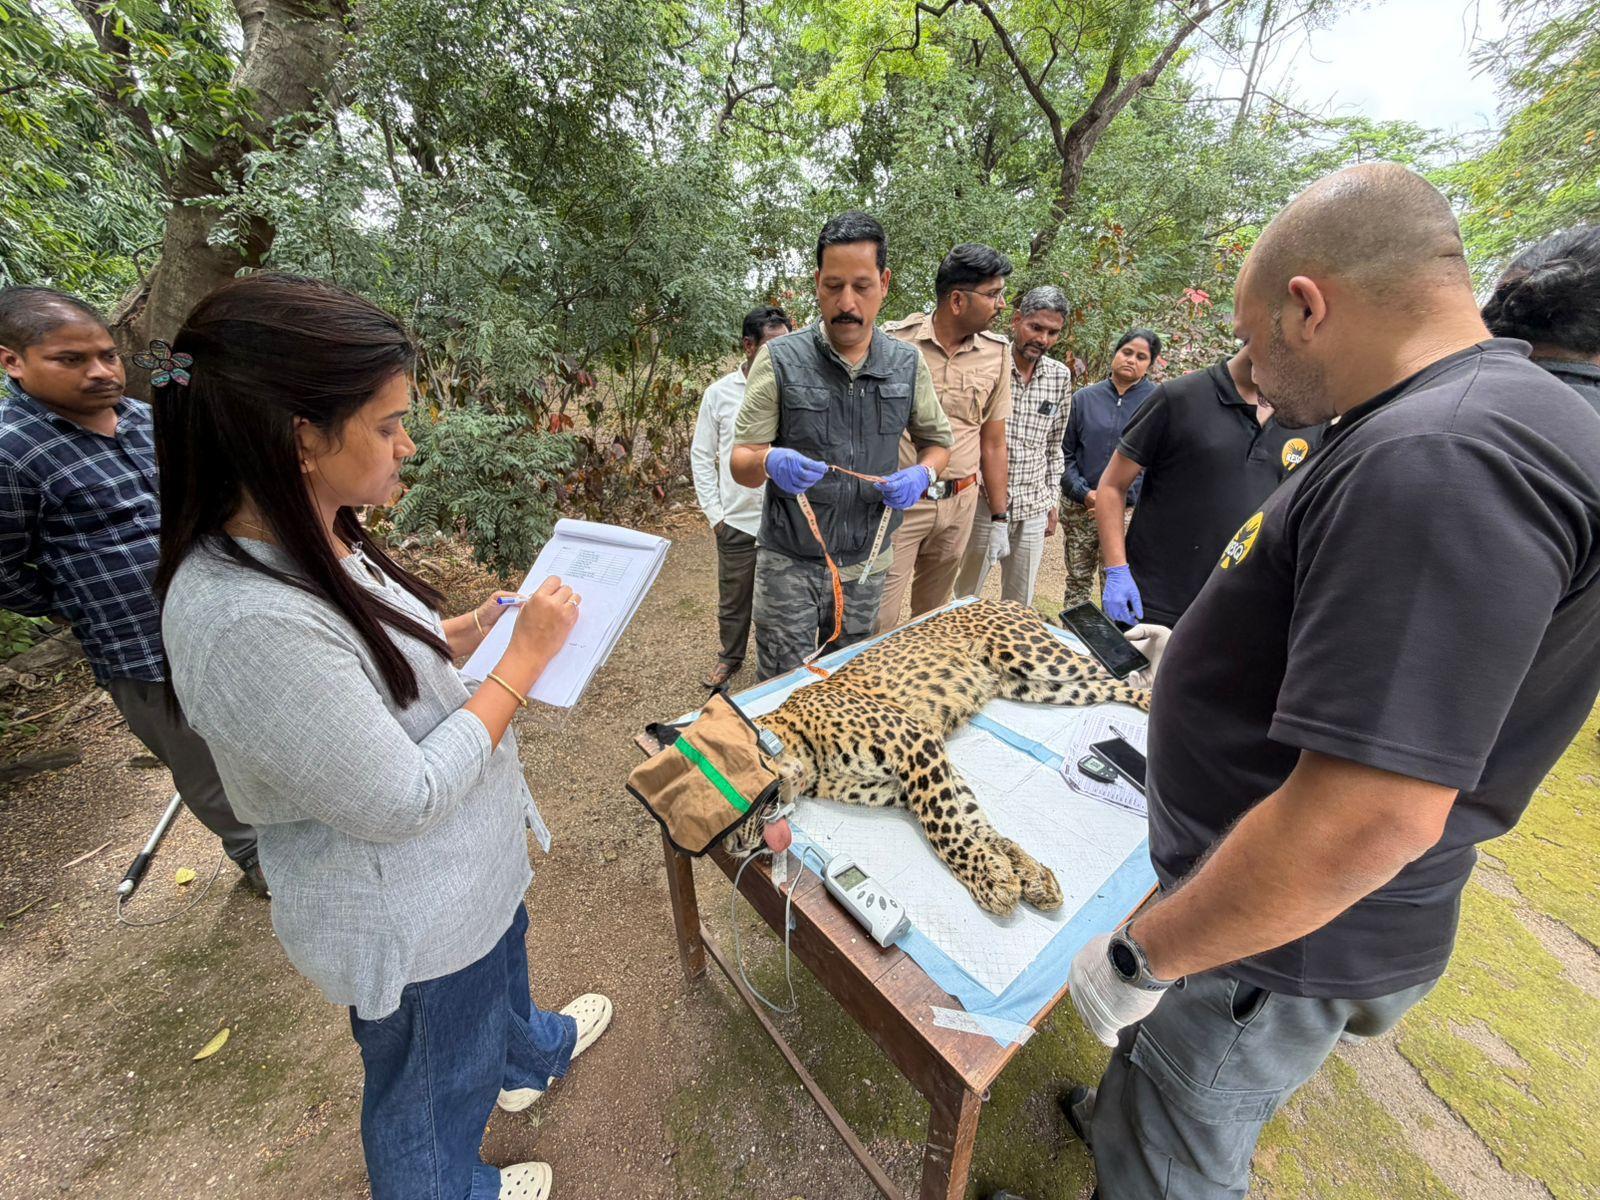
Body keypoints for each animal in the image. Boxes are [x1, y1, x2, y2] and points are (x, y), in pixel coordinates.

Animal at [724, 598, 1150, 917]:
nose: (733, 849)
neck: (800, 756)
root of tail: (1003, 600)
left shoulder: (916, 744)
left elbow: (942, 827)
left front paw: (992, 878)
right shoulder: (911, 779)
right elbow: (972, 822)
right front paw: (1020, 872)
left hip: (1039, 657)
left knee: (1123, 666)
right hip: (1039, 687)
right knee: (1112, 684)